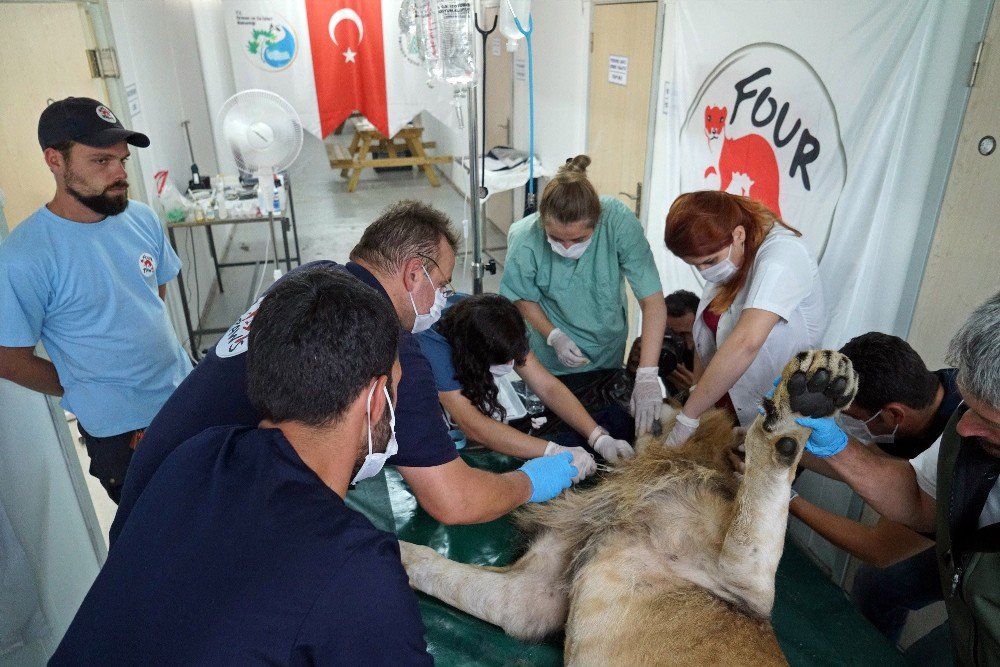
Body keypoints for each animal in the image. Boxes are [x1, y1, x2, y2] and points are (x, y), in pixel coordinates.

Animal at [402, 352, 856, 664]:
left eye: (679, 394)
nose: (628, 371)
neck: (665, 466)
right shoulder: (528, 597)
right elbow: (430, 563)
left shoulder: (746, 586)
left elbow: (768, 479)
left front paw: (806, 402)